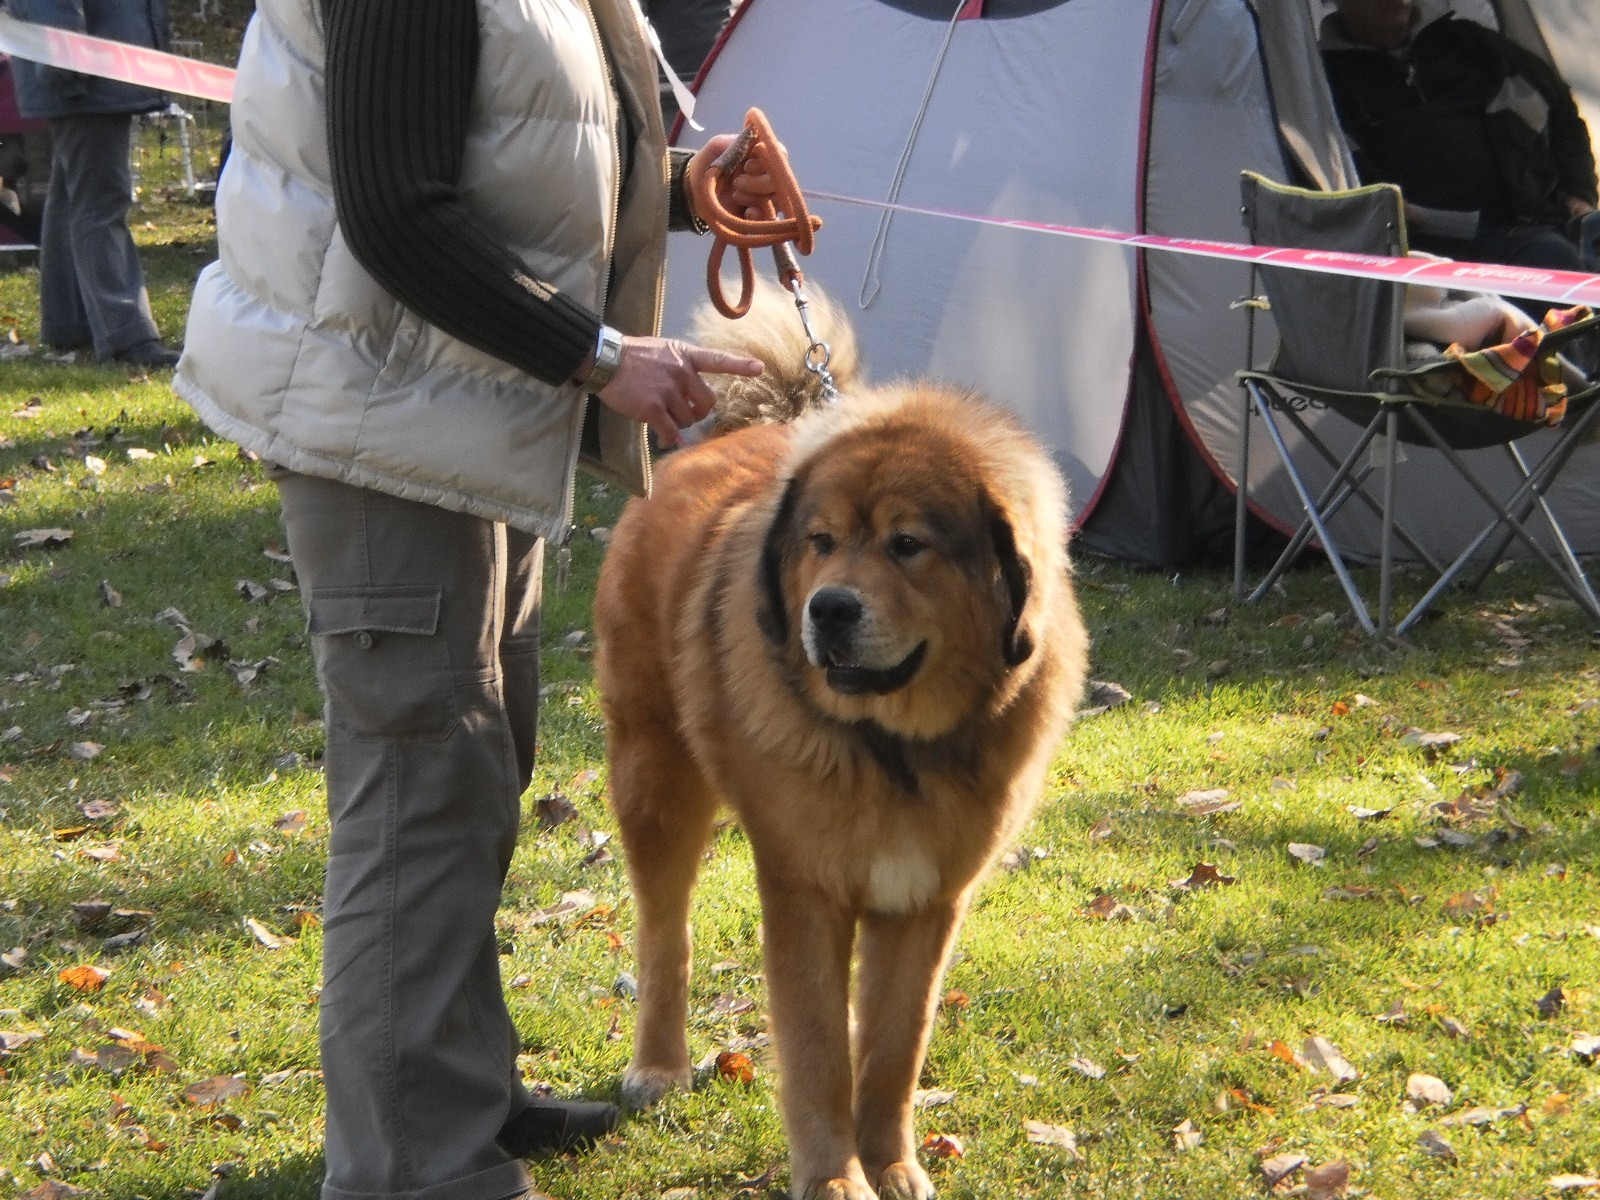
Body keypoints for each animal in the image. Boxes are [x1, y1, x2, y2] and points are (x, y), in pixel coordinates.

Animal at [593, 281, 1089, 1200]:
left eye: (907, 544)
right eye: (820, 542)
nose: (828, 608)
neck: (894, 751)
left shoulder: (927, 901)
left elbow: (892, 1050)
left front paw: (890, 1165)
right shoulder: (805, 893)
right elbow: (819, 1054)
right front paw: (833, 1178)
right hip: (654, 777)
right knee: (664, 932)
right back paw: (659, 1065)